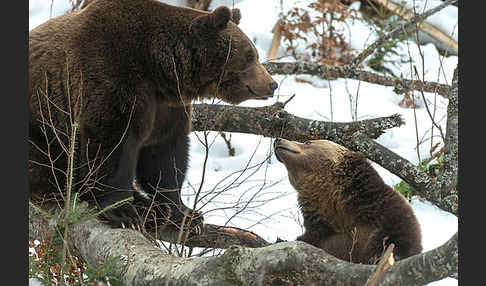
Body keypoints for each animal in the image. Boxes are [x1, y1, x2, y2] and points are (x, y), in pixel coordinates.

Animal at [27, 0, 278, 232]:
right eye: (250, 55)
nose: (272, 84)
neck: (157, 68)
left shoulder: (166, 107)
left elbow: (164, 157)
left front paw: (185, 214)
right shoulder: (112, 78)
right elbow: (111, 143)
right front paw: (123, 212)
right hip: (43, 123)